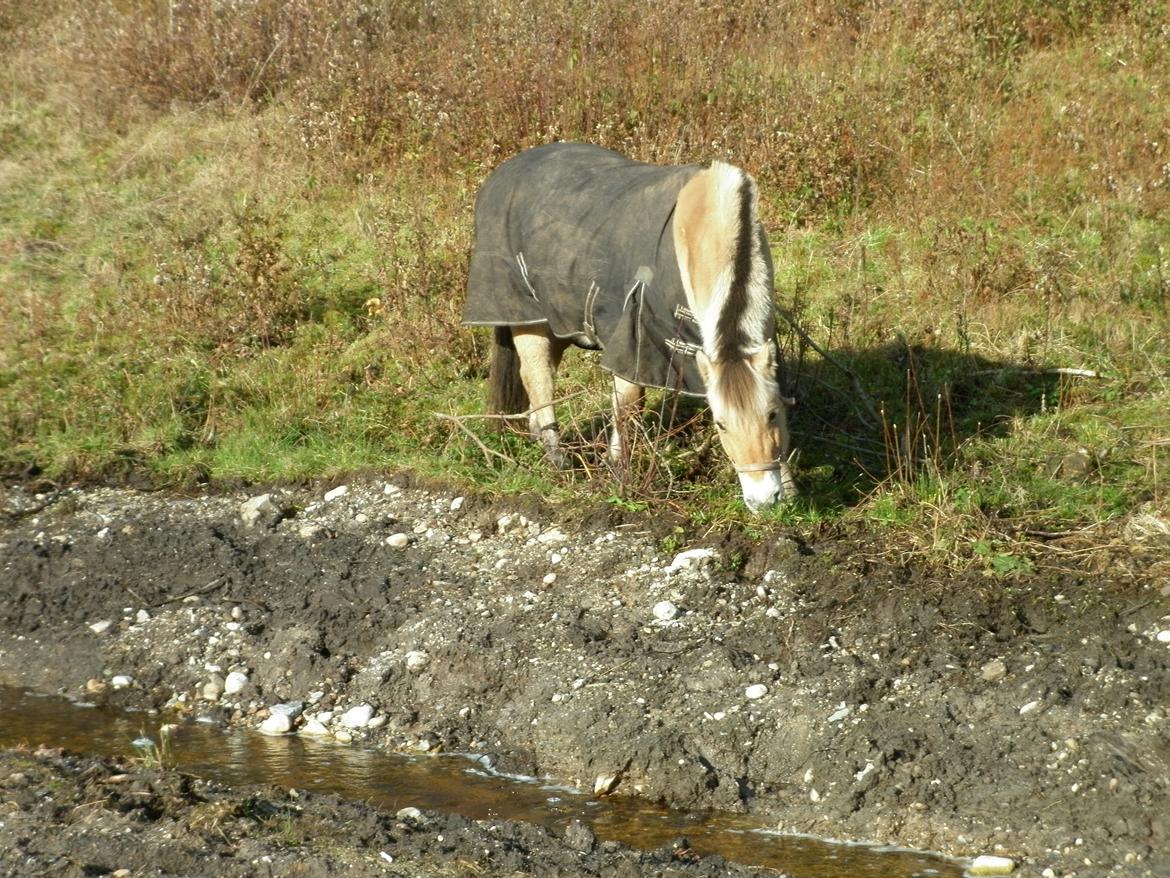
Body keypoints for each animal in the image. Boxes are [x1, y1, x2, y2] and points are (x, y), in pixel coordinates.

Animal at [458, 143, 795, 512]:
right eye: (720, 425)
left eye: (772, 415)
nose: (763, 499)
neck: (696, 234)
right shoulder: (634, 342)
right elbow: (628, 404)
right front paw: (620, 473)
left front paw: (790, 488)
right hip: (527, 317)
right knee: (537, 379)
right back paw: (559, 460)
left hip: (558, 323)